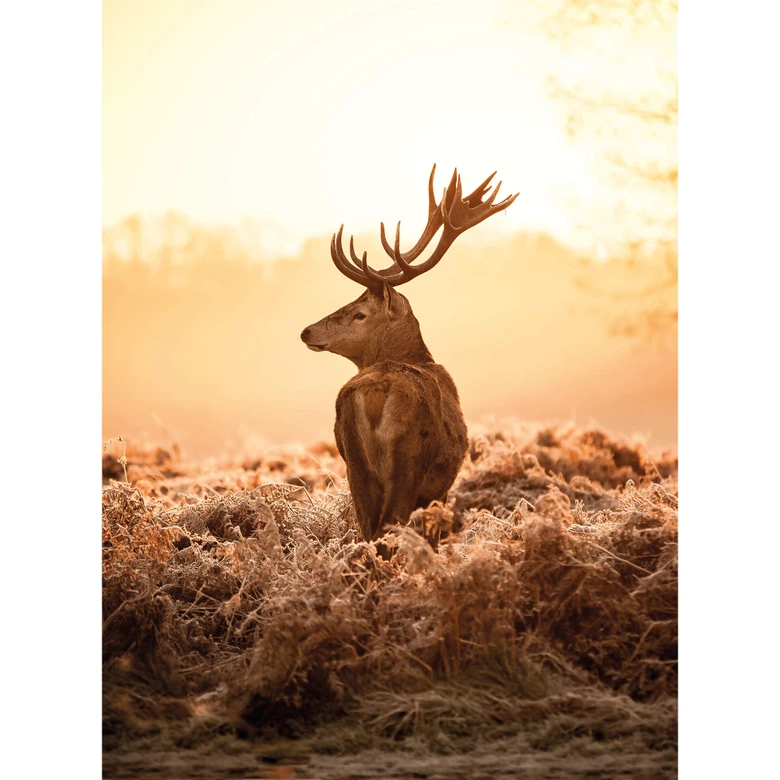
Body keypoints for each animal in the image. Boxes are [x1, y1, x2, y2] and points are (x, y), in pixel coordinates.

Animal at [301, 165, 518, 555]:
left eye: (358, 313)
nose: (307, 331)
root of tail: (374, 393)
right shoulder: (439, 487)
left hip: (354, 463)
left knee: (368, 528)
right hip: (409, 459)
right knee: (389, 527)